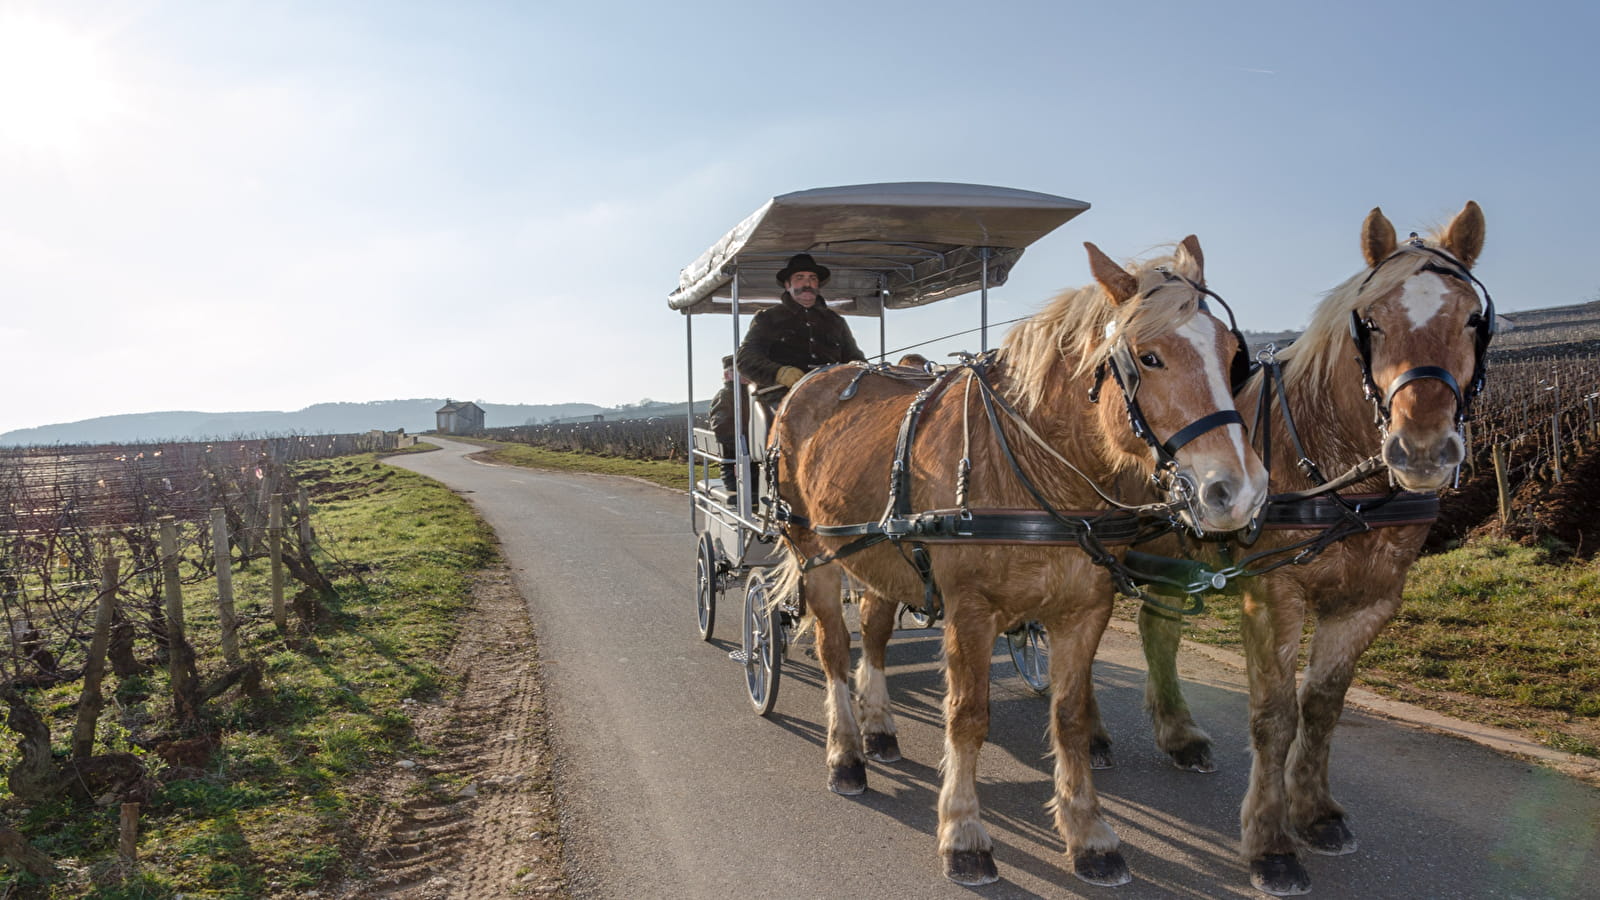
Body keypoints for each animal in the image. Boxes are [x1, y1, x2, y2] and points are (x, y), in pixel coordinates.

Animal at [768, 237, 1267, 883]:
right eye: (1150, 357)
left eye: (1233, 355)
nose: (1240, 491)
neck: (1039, 469)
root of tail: (808, 384)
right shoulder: (970, 612)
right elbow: (968, 716)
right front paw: (963, 831)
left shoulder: (1086, 608)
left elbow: (1070, 717)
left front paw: (1088, 832)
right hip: (815, 551)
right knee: (834, 647)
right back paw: (847, 754)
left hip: (878, 553)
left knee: (873, 634)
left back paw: (878, 728)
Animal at [1107, 199, 1491, 890]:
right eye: (1371, 322)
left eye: (1472, 319)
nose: (1421, 450)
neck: (1344, 480)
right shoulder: (1272, 591)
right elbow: (1275, 714)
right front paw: (1270, 842)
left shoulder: (1371, 601)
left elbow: (1323, 705)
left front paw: (1314, 810)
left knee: (1158, 629)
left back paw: (1178, 733)